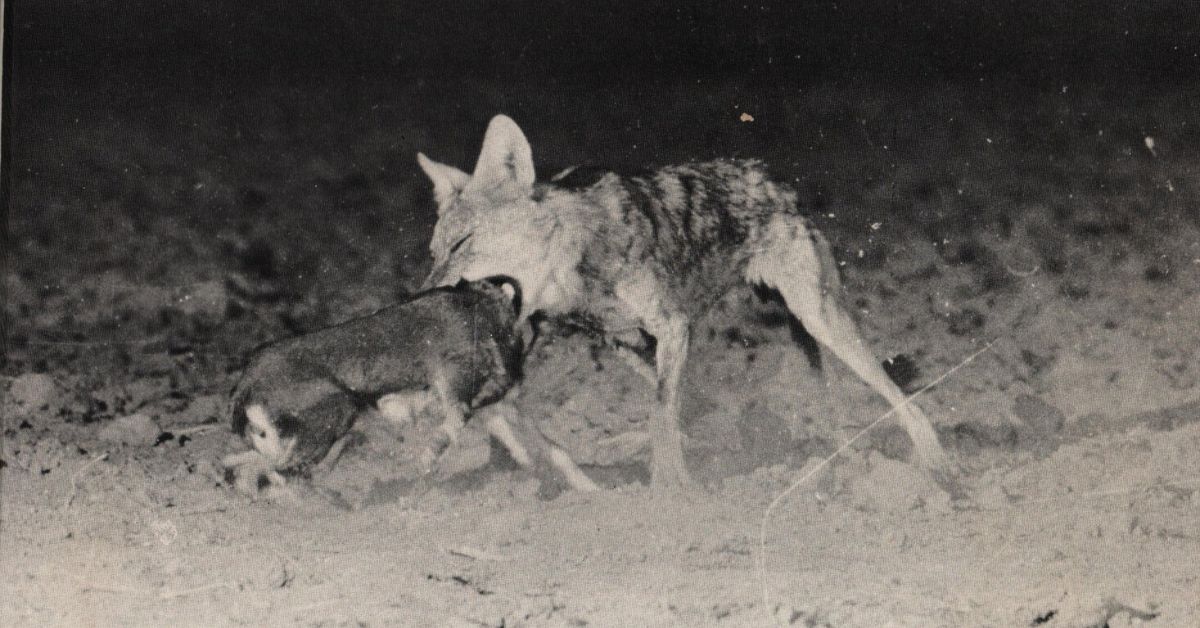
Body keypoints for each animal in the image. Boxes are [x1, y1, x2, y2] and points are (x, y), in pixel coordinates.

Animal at [417, 117, 950, 492]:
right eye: (434, 253)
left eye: (463, 244)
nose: (421, 299)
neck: (577, 263)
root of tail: (775, 183)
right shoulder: (624, 341)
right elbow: (667, 413)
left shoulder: (671, 326)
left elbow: (661, 415)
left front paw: (672, 496)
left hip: (820, 322)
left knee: (898, 397)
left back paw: (937, 465)